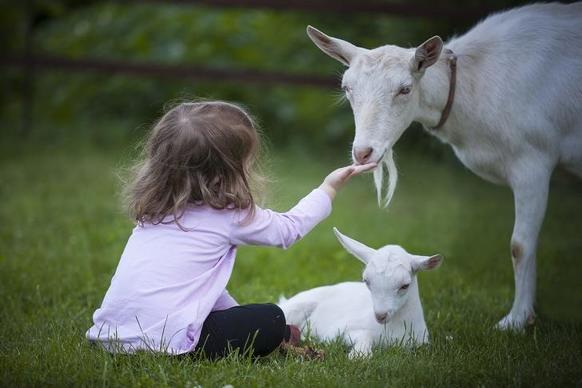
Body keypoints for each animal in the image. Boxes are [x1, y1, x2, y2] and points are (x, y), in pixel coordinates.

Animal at [280, 227, 444, 358]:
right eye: (366, 281)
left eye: (405, 285)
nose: (380, 315)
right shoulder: (338, 330)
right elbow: (363, 334)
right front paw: (359, 355)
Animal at [308, 3, 580, 330]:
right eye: (347, 88)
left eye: (405, 89)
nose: (363, 153)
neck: (473, 85)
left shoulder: (533, 159)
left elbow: (520, 245)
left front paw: (515, 321)